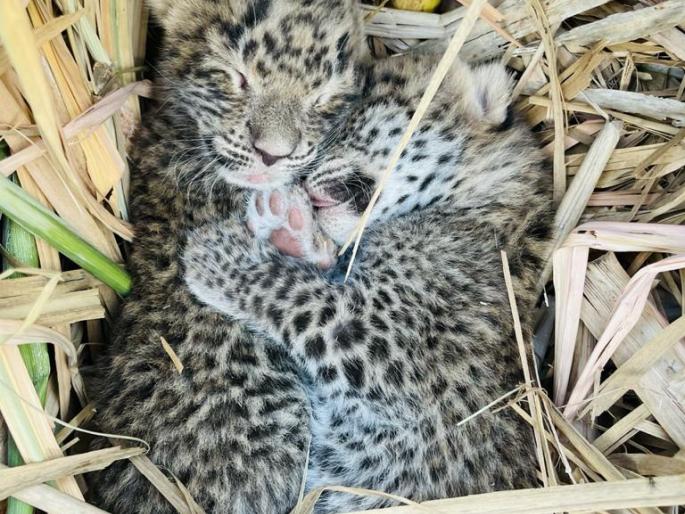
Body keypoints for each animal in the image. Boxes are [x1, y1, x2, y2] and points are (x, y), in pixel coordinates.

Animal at [183, 54, 554, 513]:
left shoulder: (376, 339)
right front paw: (289, 227)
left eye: (351, 121)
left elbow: (294, 294)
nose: (295, 174)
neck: (484, 207)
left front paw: (217, 255)